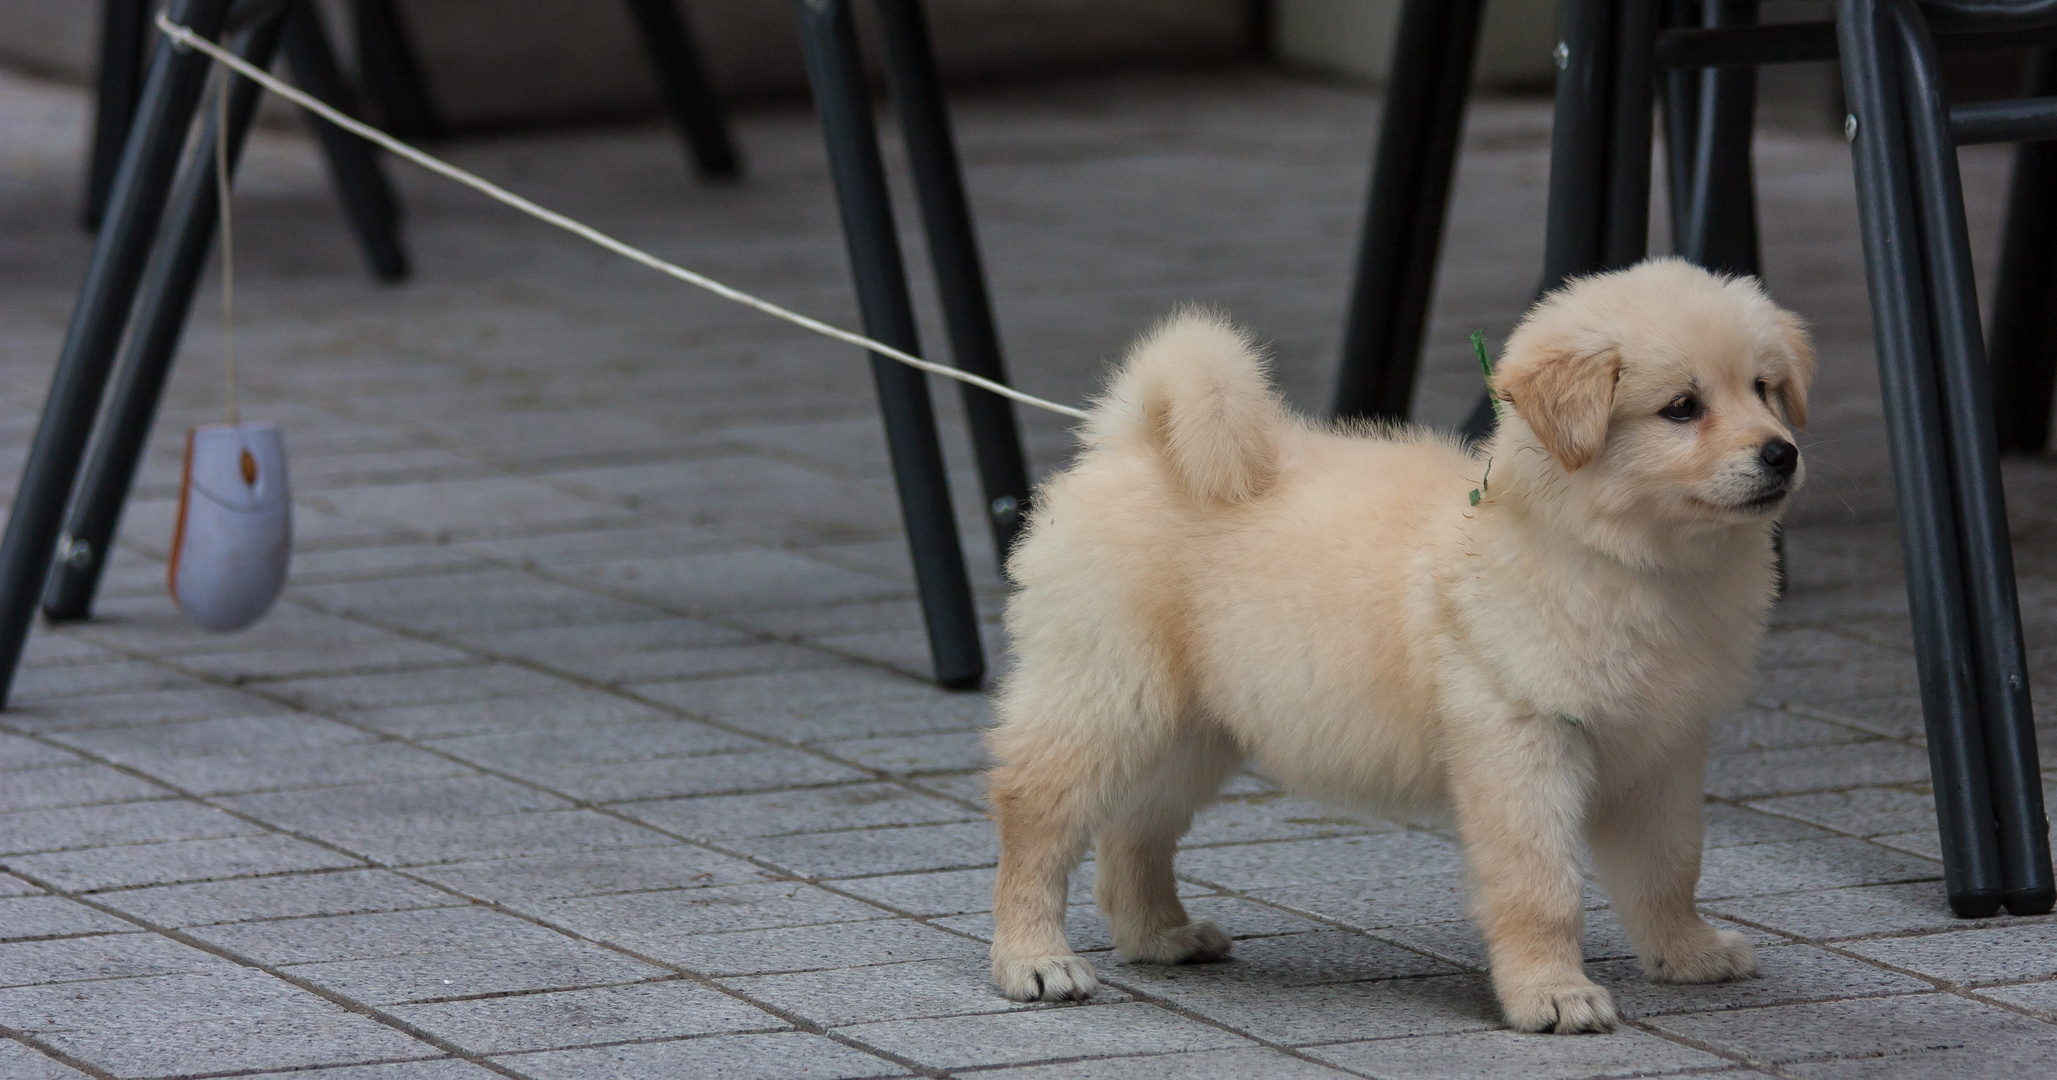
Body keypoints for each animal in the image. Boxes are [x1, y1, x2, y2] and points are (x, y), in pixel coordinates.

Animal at [987, 257, 1810, 1032]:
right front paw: (1553, 995)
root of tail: (1139, 442)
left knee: (1136, 827)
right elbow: (1542, 885)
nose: (1782, 454)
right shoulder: (1522, 739)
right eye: (1682, 408)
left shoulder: (1662, 747)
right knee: (1034, 812)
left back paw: (1160, 935)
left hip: (1195, 727)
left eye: (1764, 389)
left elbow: (1670, 865)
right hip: (1108, 693)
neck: (1630, 561)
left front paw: (1687, 953)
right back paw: (1034, 960)